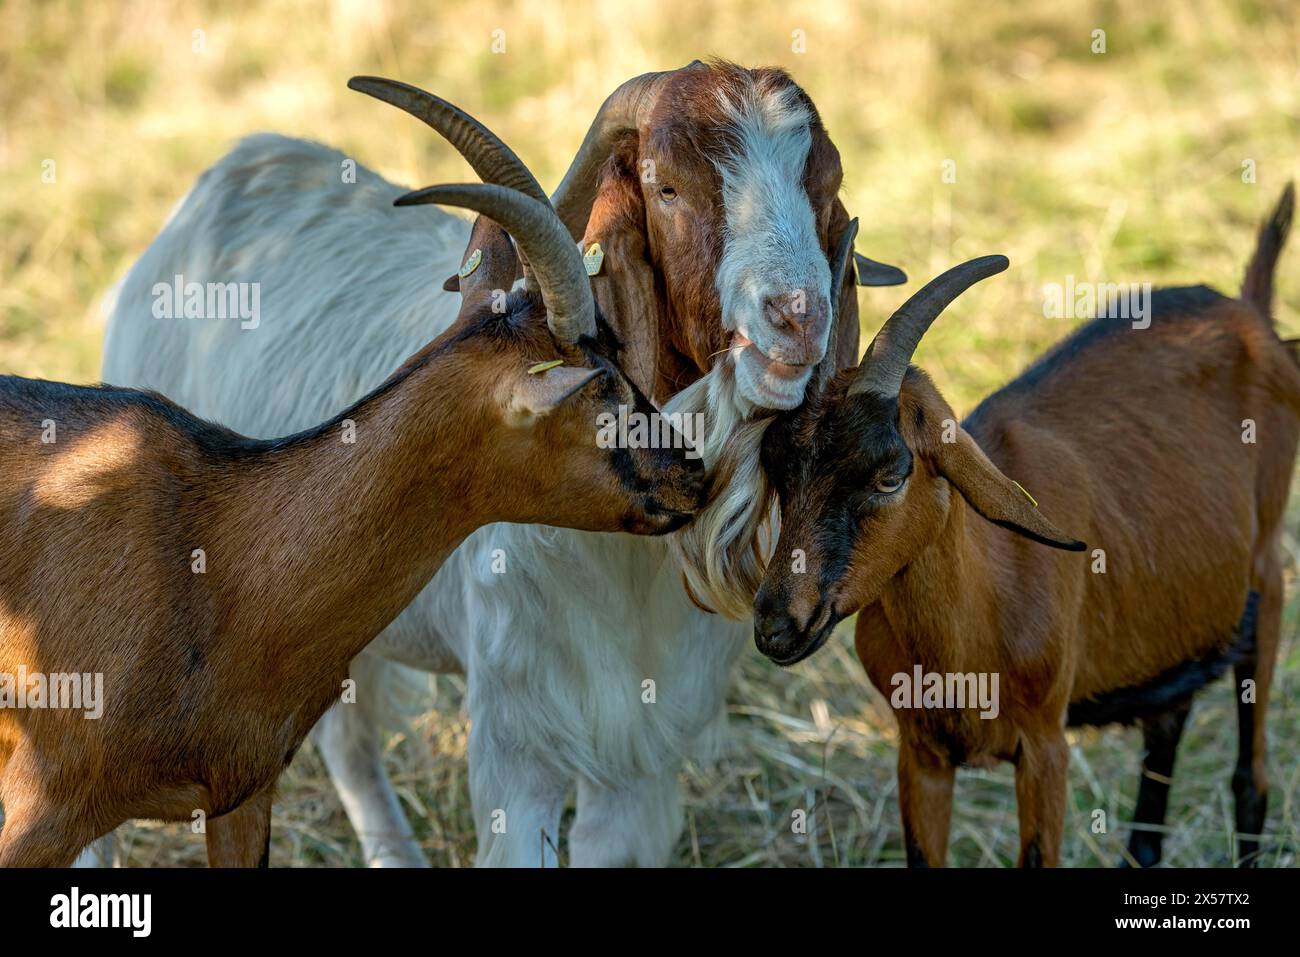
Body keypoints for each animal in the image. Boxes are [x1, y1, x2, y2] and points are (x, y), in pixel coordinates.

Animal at [96, 61, 899, 868]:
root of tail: (236, 166)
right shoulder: (520, 738)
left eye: (826, 181)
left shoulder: (638, 753)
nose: (797, 318)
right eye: (667, 185)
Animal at [754, 187, 1300, 868]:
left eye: (890, 474)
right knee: (1167, 727)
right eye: (776, 462)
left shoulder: (1045, 748)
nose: (777, 626)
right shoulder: (921, 755)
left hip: (1266, 582)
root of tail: (1249, 313)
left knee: (1251, 777)